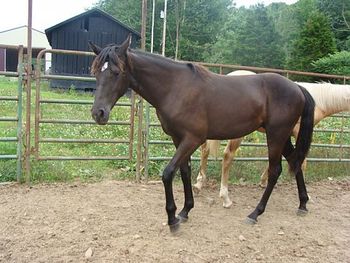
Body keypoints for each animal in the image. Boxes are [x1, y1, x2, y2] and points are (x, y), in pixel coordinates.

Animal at [89, 35, 316, 233]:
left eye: (117, 72)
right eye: (96, 72)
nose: (98, 113)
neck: (175, 88)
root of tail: (297, 87)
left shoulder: (192, 139)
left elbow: (168, 173)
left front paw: (172, 219)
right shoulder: (178, 139)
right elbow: (184, 172)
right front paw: (185, 211)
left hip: (276, 135)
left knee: (275, 170)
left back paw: (255, 213)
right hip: (281, 136)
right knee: (295, 161)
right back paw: (302, 204)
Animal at [194, 70, 350, 208]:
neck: (318, 100)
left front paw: (263, 181)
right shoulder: (296, 134)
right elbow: (302, 162)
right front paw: (307, 195)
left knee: (205, 150)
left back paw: (198, 184)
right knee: (227, 155)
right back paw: (225, 198)